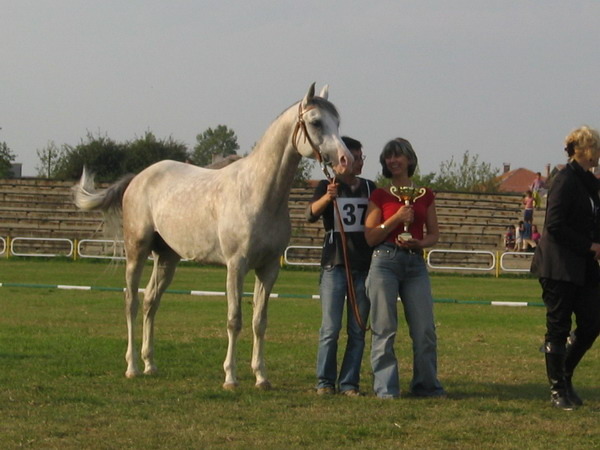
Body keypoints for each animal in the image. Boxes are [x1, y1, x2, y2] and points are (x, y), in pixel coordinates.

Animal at [71, 84, 352, 390]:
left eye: (338, 122)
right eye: (316, 122)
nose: (345, 160)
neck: (258, 192)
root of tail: (137, 178)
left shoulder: (268, 269)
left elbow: (259, 321)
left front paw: (261, 377)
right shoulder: (236, 266)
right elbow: (234, 319)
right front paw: (230, 377)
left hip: (167, 258)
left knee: (150, 302)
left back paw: (150, 364)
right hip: (137, 251)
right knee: (131, 302)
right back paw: (132, 366)